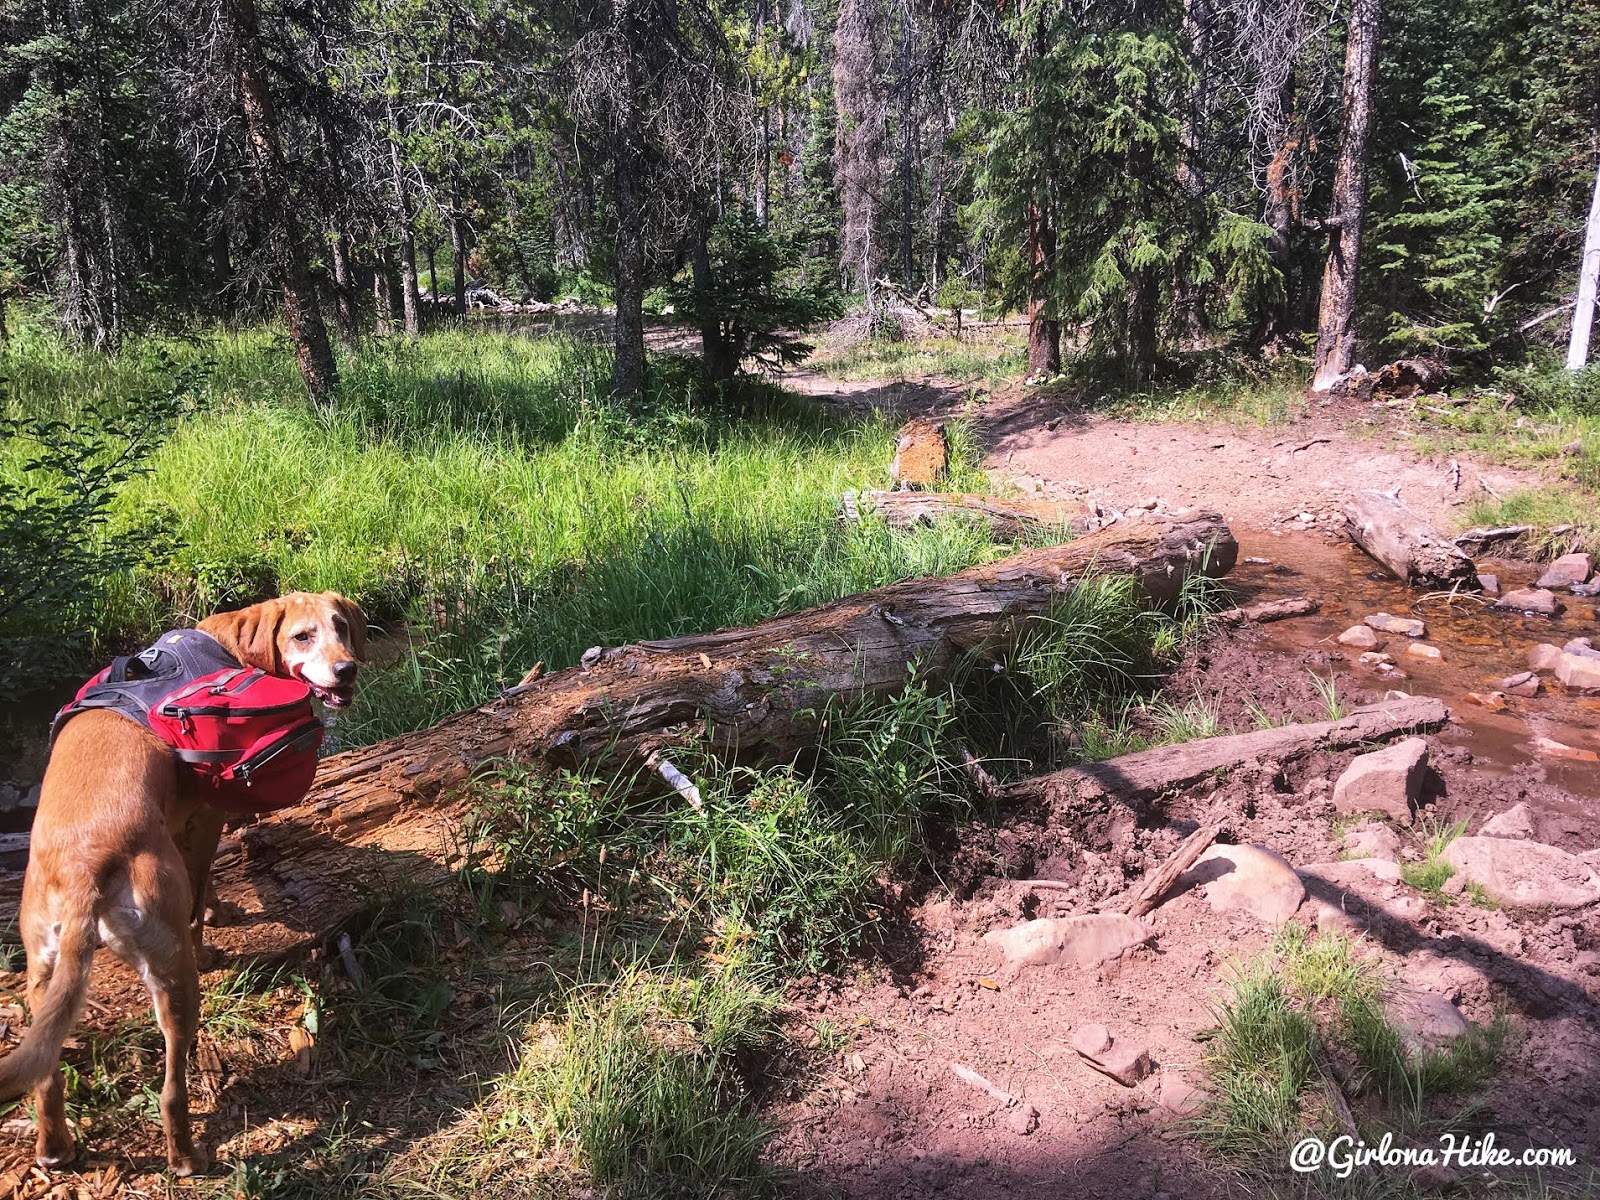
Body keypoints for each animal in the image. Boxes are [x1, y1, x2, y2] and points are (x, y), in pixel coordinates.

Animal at [0, 592, 366, 1177]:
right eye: (302, 636)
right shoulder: (205, 815)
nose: (346, 669)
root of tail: (84, 866)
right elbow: (202, 890)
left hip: (44, 975)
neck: (226, 646)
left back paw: (54, 1147)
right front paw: (215, 924)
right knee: (172, 1087)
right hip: (171, 972)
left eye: (342, 629)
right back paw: (188, 1156)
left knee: (47, 1075)